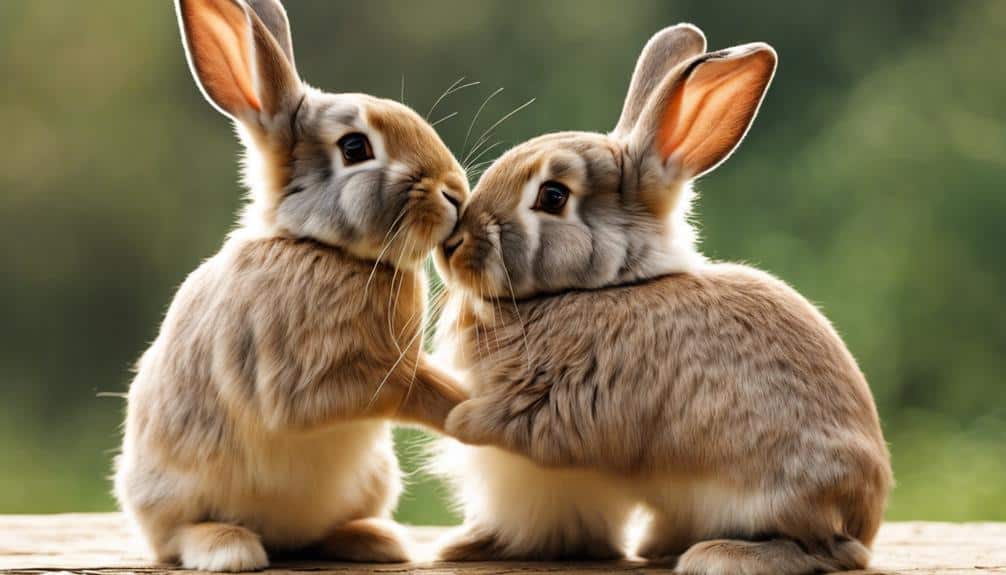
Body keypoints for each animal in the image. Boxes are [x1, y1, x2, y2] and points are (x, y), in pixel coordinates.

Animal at [113, 0, 469, 571]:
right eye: (355, 147)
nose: (455, 192)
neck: (320, 246)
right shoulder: (307, 378)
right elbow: (405, 385)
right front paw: (460, 403)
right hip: (171, 494)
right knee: (176, 538)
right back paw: (228, 547)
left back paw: (375, 540)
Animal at [431, 23, 892, 575]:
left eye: (553, 196)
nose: (452, 245)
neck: (609, 286)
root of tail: (864, 523)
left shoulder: (561, 407)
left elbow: (516, 426)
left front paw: (458, 419)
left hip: (785, 496)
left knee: (817, 550)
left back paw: (719, 555)